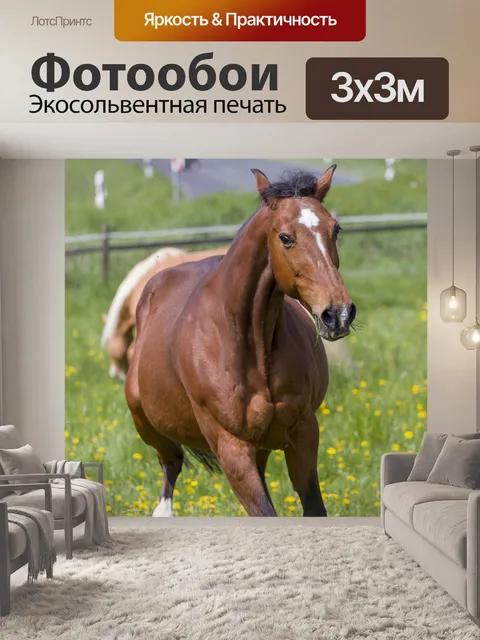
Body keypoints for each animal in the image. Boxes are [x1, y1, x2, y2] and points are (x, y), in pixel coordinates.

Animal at [125, 166, 356, 517]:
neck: (248, 346)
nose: (338, 314)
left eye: (336, 229)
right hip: (148, 425)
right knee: (170, 466)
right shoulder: (232, 447)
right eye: (285, 237)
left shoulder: (303, 432)